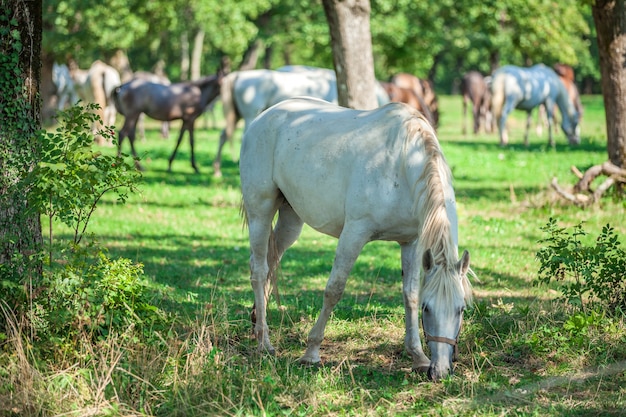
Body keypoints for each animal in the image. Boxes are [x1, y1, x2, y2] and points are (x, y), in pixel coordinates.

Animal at [240, 97, 472, 380]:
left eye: (461, 309)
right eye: (428, 308)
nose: (439, 371)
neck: (402, 162)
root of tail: (265, 116)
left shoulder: (412, 242)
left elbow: (410, 294)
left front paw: (417, 356)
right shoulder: (354, 233)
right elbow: (334, 289)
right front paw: (311, 352)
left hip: (291, 219)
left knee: (272, 260)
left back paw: (256, 323)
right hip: (260, 212)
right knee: (259, 269)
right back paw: (264, 342)